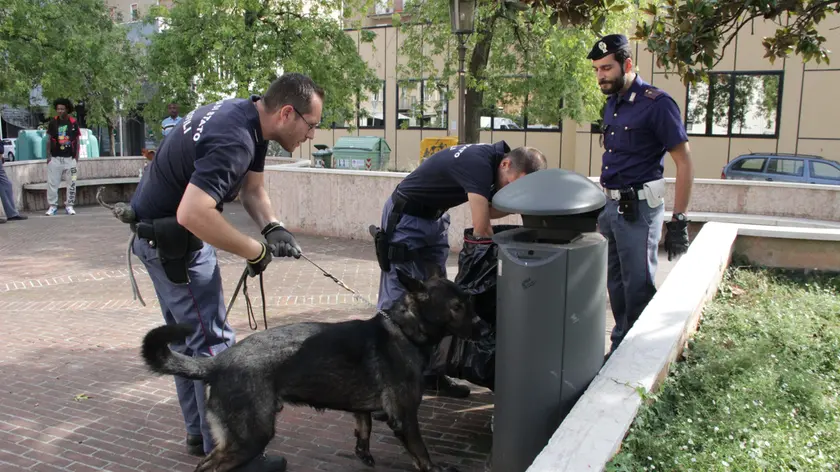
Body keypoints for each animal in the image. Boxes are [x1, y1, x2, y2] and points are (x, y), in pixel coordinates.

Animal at [141, 270, 476, 472]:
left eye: (466, 302)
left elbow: (364, 427)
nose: (483, 327)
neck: (404, 329)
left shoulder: (362, 409)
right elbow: (422, 455)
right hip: (251, 437)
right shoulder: (405, 419)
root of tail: (218, 362)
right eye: (457, 306)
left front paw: (363, 452)